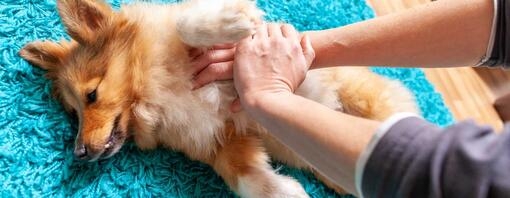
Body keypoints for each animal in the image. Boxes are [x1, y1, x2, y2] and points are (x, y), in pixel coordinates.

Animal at [18, 0, 418, 196]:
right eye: (73, 113)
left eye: (92, 95)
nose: (79, 153)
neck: (153, 90)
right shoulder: (225, 140)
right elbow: (246, 177)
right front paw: (287, 191)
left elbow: (188, 24)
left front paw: (229, 21)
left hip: (365, 99)